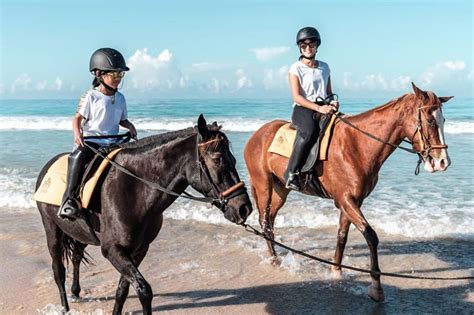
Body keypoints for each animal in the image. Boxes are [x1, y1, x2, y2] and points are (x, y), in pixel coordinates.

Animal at [36, 115, 252, 314]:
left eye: (234, 159)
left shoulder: (139, 249)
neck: (135, 190)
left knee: (76, 257)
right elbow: (143, 289)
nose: (244, 208)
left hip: (81, 232)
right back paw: (65, 307)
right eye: (217, 160)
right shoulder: (113, 250)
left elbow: (122, 290)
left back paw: (75, 292)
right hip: (51, 229)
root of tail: (48, 166)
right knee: (58, 270)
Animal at [244, 83, 452, 302]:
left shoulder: (352, 202)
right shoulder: (345, 200)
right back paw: (274, 259)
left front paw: (336, 271)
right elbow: (371, 236)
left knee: (271, 220)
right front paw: (376, 287)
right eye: (430, 120)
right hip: (264, 185)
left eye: (443, 120)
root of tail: (257, 134)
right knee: (265, 221)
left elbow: (342, 235)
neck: (358, 145)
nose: (443, 162)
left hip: (280, 190)